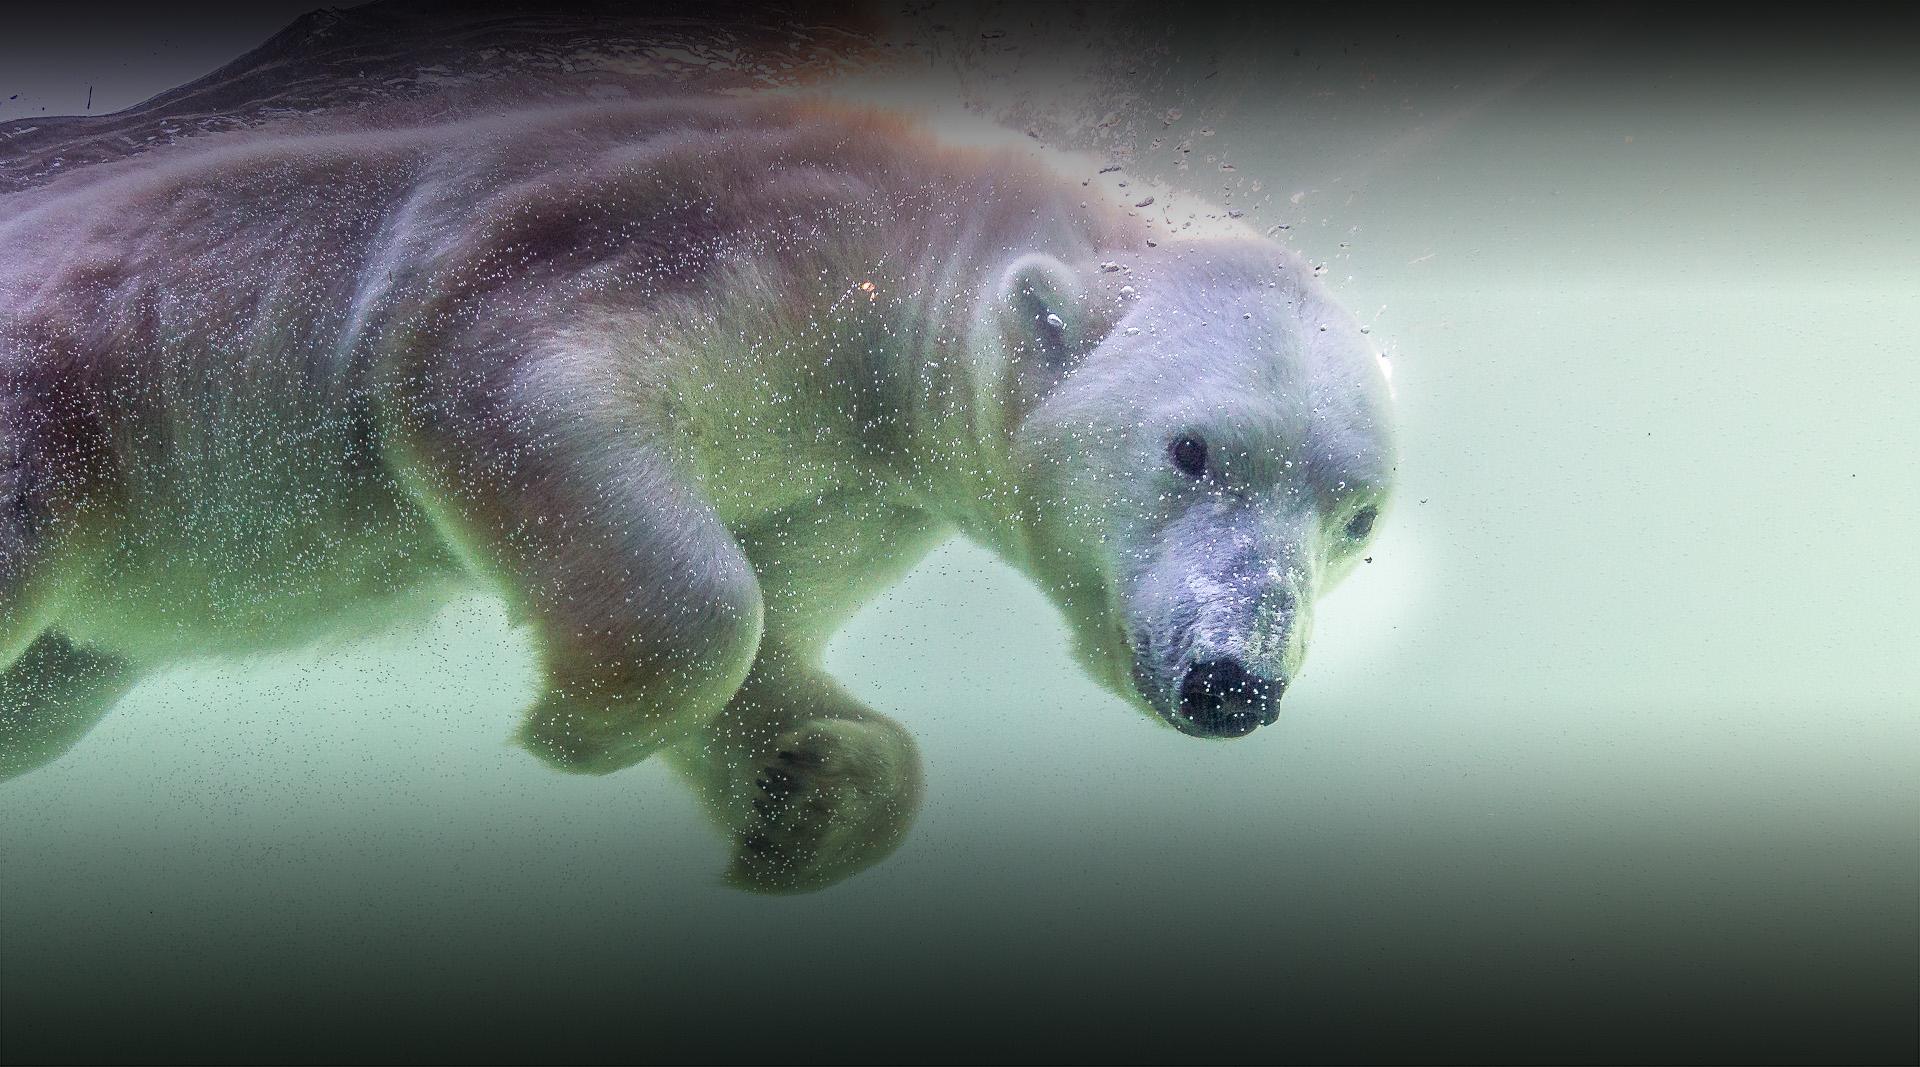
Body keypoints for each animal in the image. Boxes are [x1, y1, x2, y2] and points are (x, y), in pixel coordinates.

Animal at [0, 94, 1396, 892]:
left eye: (1359, 515)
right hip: (68, 396)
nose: (1235, 678)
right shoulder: (709, 229)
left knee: (50, 695)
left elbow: (779, 611)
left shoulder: (859, 478)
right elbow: (501, 369)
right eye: (1193, 449)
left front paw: (813, 784)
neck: (931, 237)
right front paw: (576, 723)